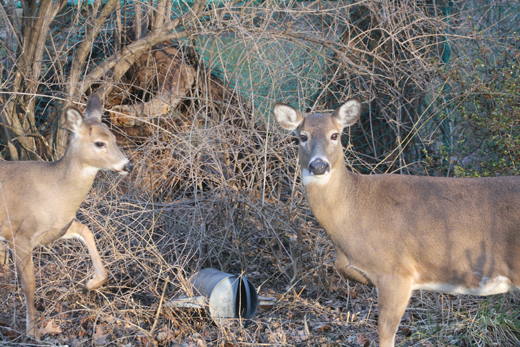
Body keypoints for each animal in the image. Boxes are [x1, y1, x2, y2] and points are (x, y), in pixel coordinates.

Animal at [0, 92, 134, 340]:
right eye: (99, 143)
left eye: (114, 139)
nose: (128, 166)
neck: (55, 190)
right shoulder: (20, 235)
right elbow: (29, 284)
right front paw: (33, 333)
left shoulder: (58, 227)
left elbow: (87, 231)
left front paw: (90, 284)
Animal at [272, 98, 520, 347]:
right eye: (302, 137)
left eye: (335, 135)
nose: (319, 166)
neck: (353, 210)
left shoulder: (396, 271)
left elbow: (385, 333)